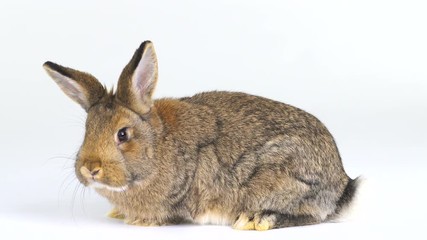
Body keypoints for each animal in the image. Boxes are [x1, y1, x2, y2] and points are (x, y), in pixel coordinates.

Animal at [44, 41, 362, 231]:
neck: (158, 144)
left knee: (311, 214)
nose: (90, 168)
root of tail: (342, 184)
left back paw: (256, 219)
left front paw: (141, 221)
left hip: (281, 177)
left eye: (122, 134)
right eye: (87, 130)